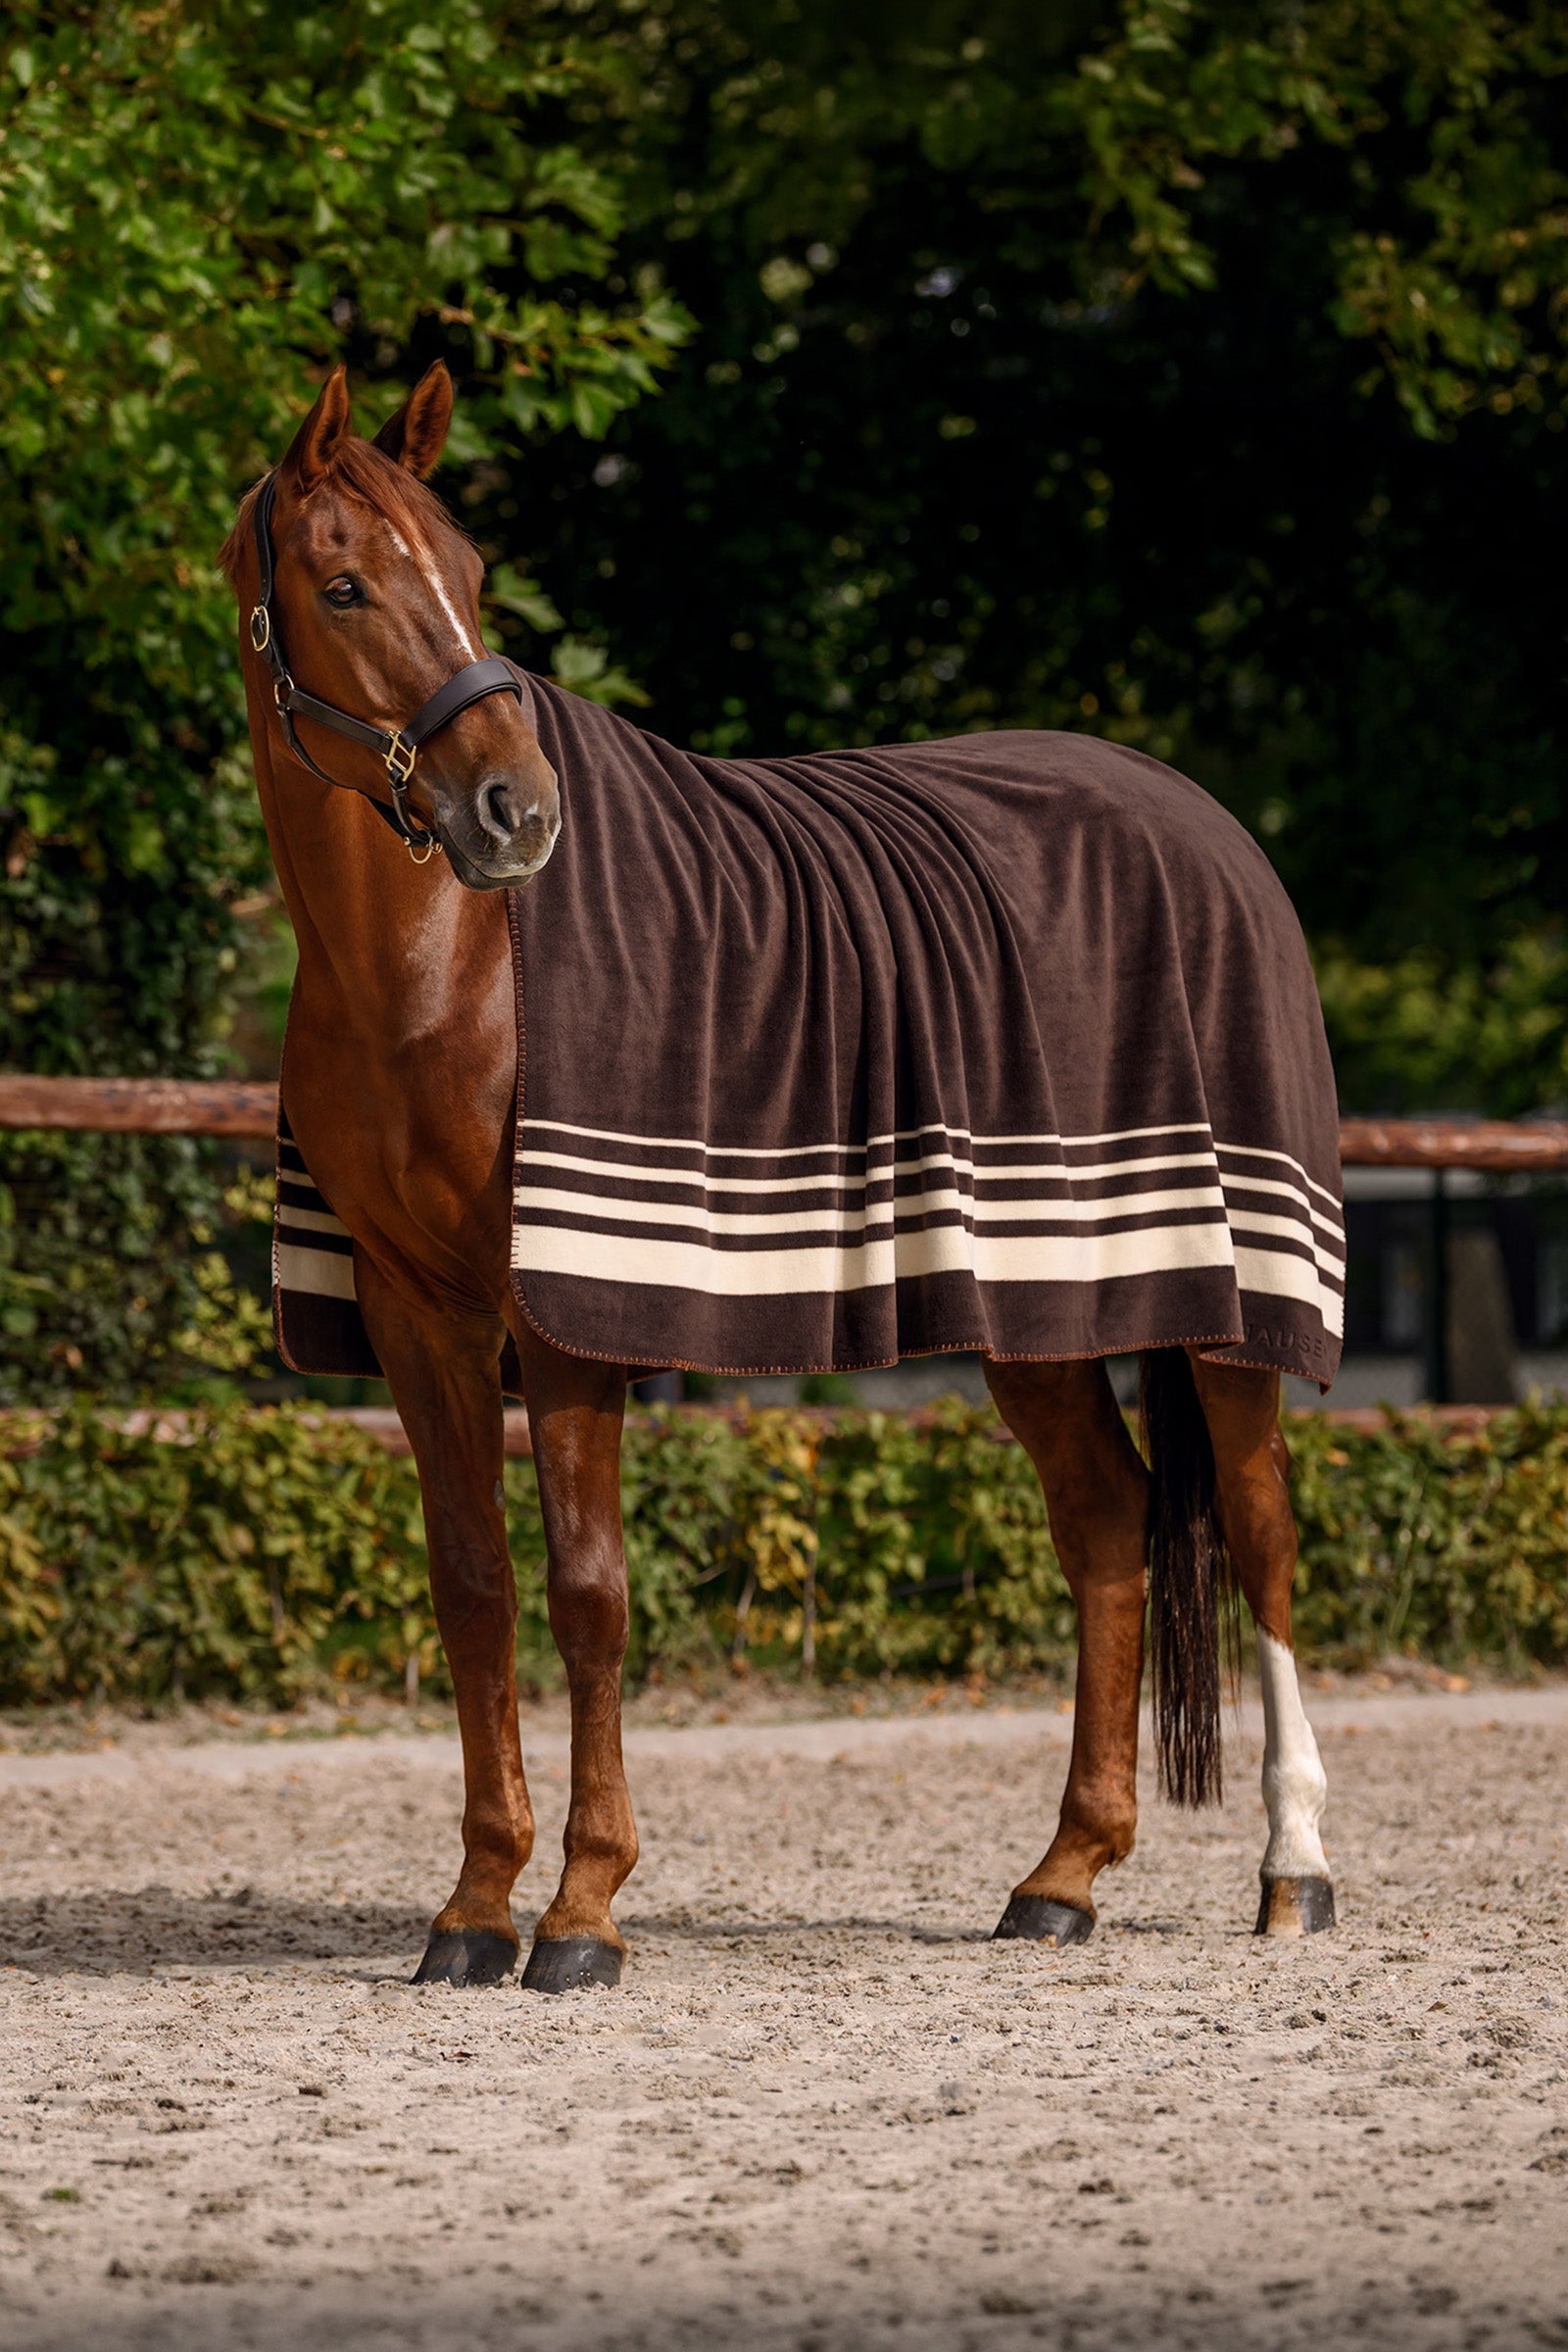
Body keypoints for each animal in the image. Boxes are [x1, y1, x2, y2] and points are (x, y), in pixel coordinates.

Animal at [221, 362, 1339, 1993]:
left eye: (476, 576)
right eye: (346, 582)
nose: (516, 814)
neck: (442, 971)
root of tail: (1203, 824)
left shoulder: (571, 1314)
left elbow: (590, 1591)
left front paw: (582, 1914)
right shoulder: (417, 1308)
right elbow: (475, 1586)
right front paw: (475, 1910)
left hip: (1231, 1299)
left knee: (1258, 1533)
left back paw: (1294, 1869)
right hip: (1041, 1310)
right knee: (1107, 1525)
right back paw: (1061, 1877)